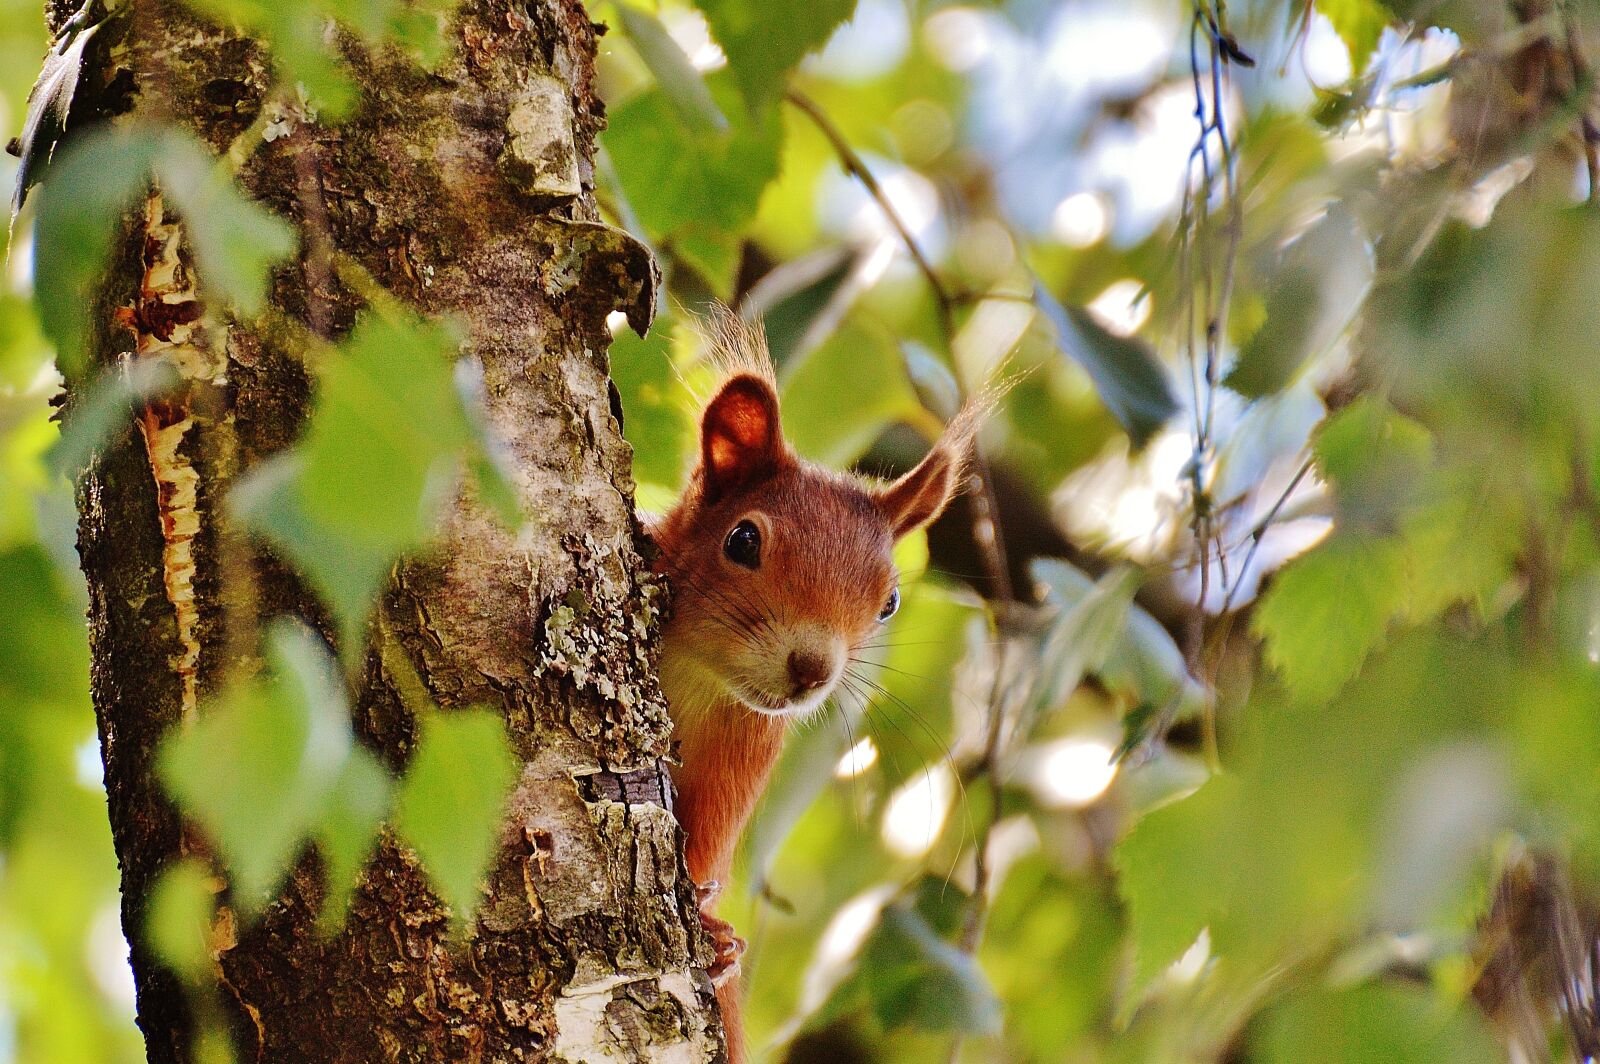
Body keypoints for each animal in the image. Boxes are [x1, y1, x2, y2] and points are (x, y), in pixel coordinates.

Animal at [644, 313, 985, 1063]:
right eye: (742, 541)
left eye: (889, 602)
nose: (812, 669)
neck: (696, 676)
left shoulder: (742, 751)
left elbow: (704, 844)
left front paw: (715, 938)